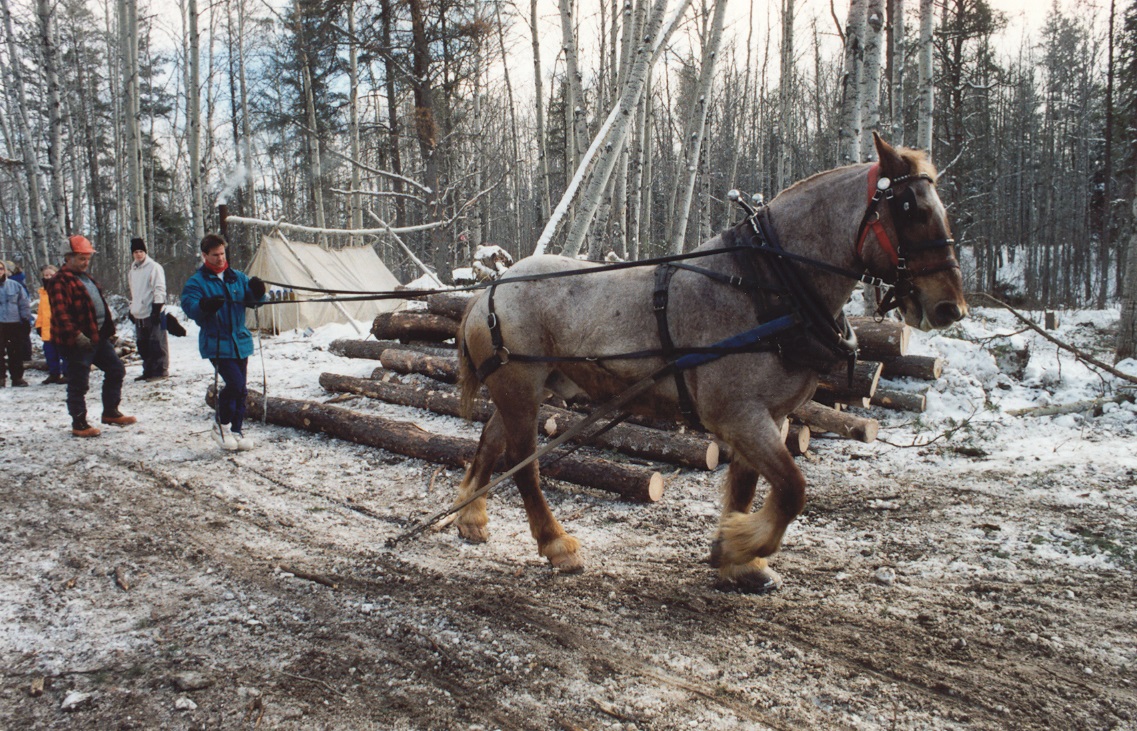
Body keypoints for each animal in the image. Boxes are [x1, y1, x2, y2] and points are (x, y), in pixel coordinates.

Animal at [447, 134, 964, 591]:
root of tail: (490, 289)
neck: (766, 287)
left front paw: (740, 563)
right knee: (524, 466)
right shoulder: (737, 415)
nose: (949, 307)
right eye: (912, 209)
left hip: (521, 389)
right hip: (521, 389)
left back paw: (471, 517)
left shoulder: (769, 417)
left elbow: (748, 486)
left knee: (491, 443)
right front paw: (737, 545)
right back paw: (557, 545)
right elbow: (792, 489)